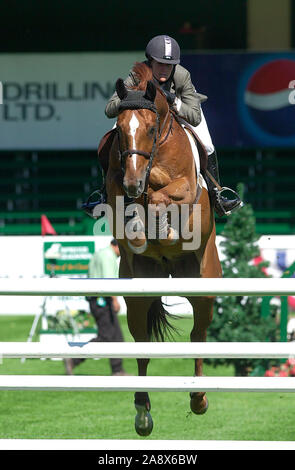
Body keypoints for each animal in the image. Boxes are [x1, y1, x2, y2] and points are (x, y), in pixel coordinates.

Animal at [100, 63, 221, 436]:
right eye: (121, 130)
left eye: (152, 129)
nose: (133, 182)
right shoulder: (116, 183)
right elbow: (127, 204)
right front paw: (140, 229)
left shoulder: (184, 189)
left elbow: (165, 194)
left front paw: (161, 223)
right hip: (137, 296)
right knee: (141, 346)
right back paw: (142, 412)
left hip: (203, 285)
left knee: (198, 335)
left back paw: (199, 398)